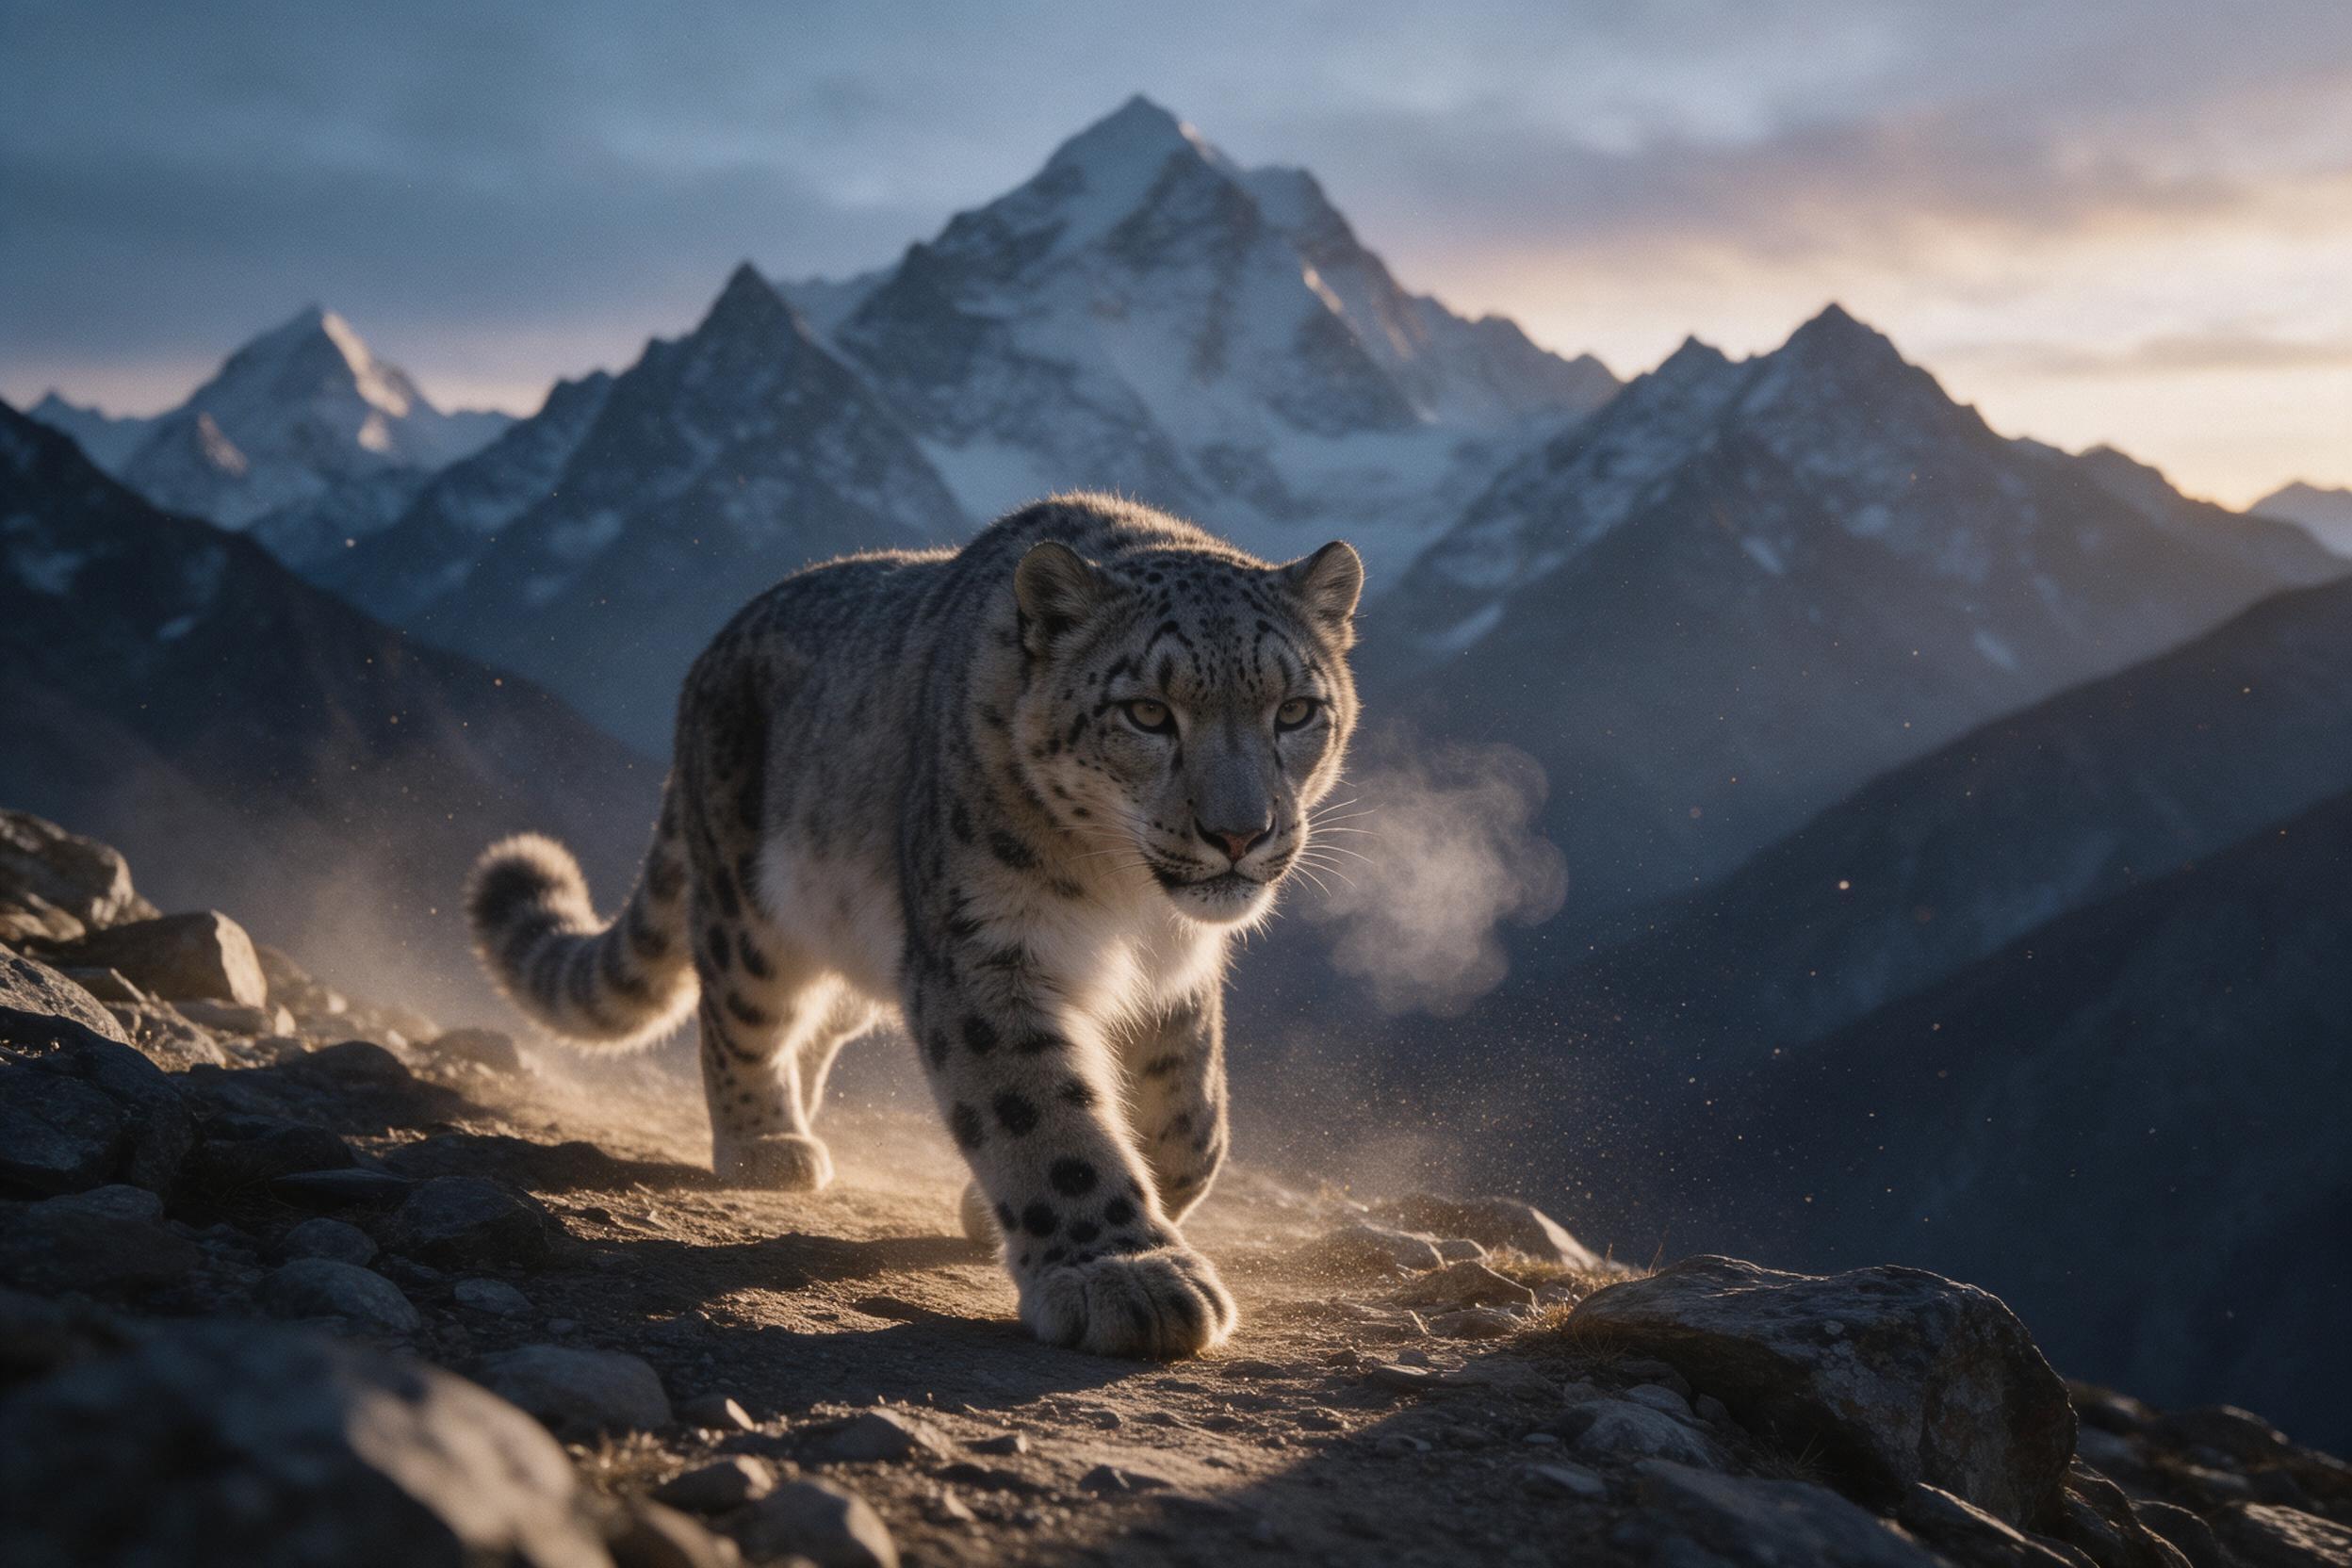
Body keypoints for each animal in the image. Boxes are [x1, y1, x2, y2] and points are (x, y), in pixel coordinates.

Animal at [466, 492, 1361, 1358]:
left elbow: (1189, 1124)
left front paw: (1006, 1207)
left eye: (1295, 710)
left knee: (814, 1026)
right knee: (741, 1014)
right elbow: (1040, 1110)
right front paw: (1121, 1274)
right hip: (749, 904)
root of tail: (712, 651)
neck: (1129, 909)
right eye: (1146, 712)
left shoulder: (1174, 976)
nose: (1239, 834)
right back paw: (766, 1143)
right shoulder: (983, 949)